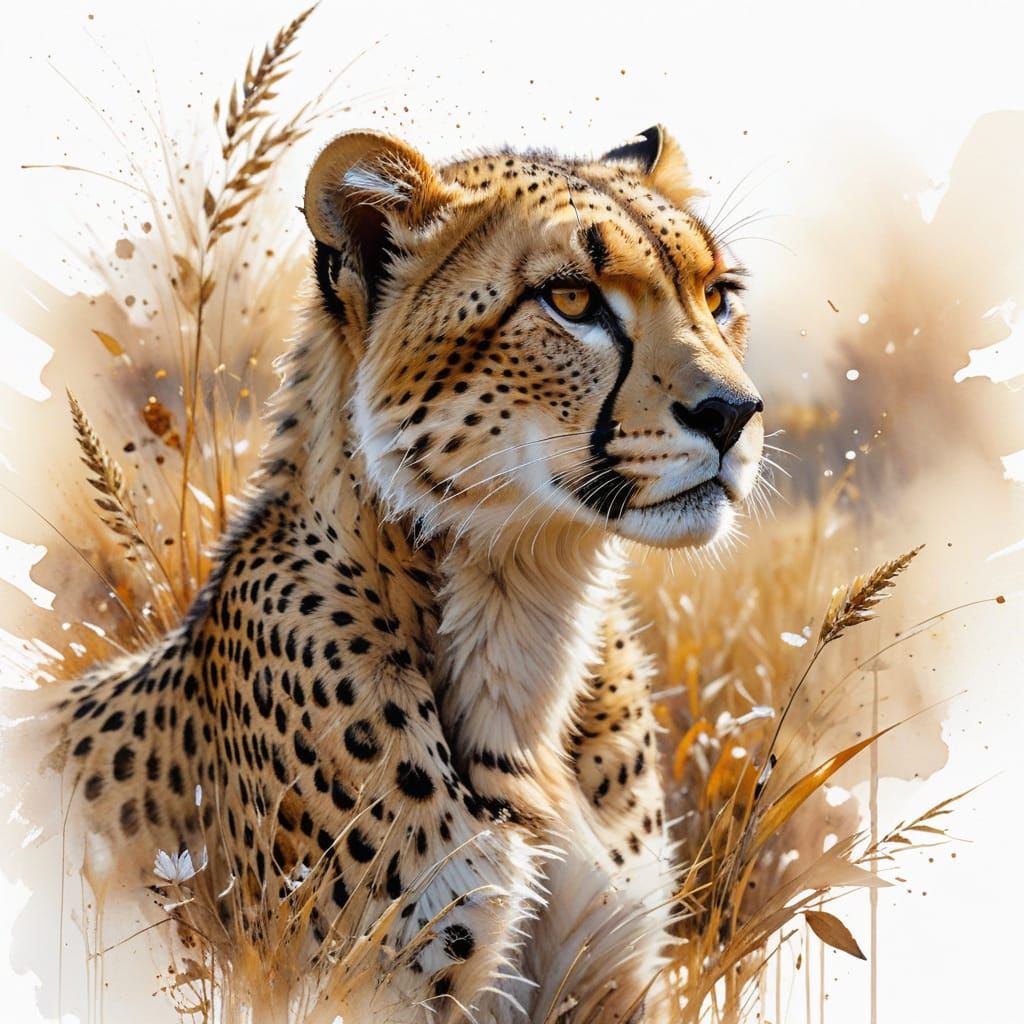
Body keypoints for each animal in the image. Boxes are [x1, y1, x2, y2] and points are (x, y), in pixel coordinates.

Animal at [37, 124, 764, 1023]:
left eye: (717, 295)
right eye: (570, 300)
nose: (734, 414)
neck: (525, 601)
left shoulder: (609, 981)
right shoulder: (358, 988)